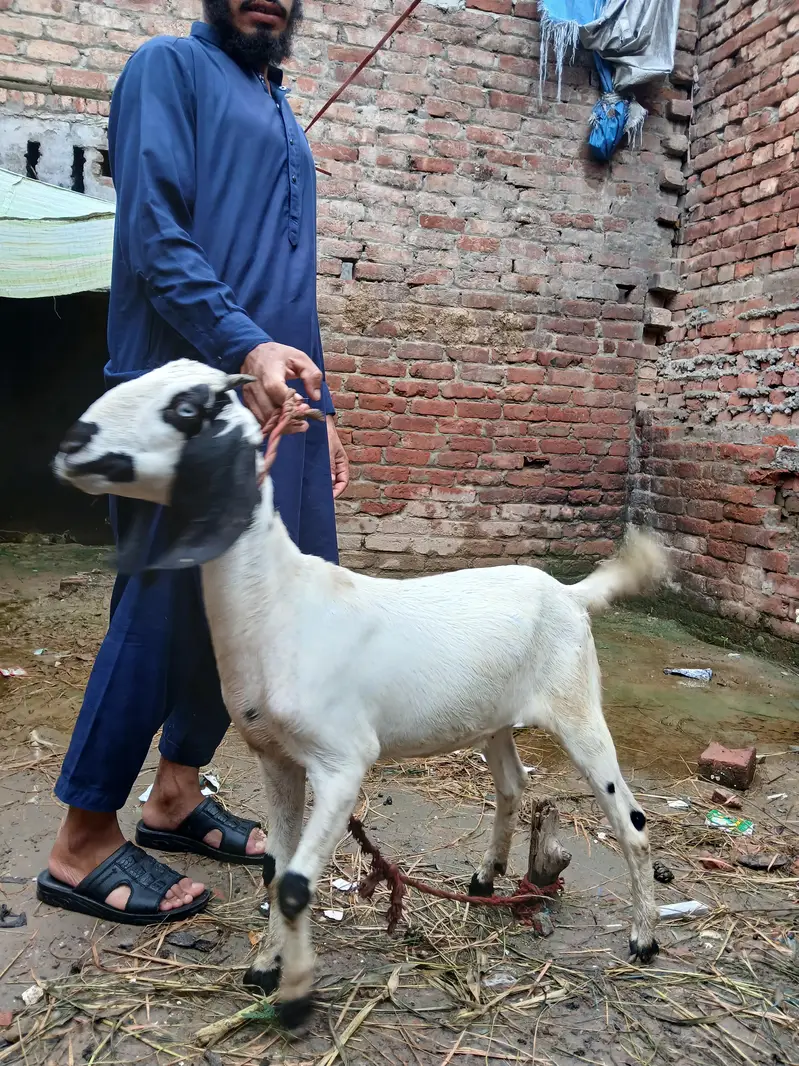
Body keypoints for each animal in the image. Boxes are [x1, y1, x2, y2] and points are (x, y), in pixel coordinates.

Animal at [54, 359, 669, 1027]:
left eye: (188, 408)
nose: (70, 444)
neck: (281, 603)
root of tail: (570, 593)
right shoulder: (275, 756)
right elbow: (274, 870)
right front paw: (264, 969)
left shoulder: (342, 761)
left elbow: (296, 884)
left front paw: (295, 997)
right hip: (493, 719)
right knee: (512, 786)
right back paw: (485, 880)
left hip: (576, 705)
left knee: (632, 820)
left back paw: (643, 938)